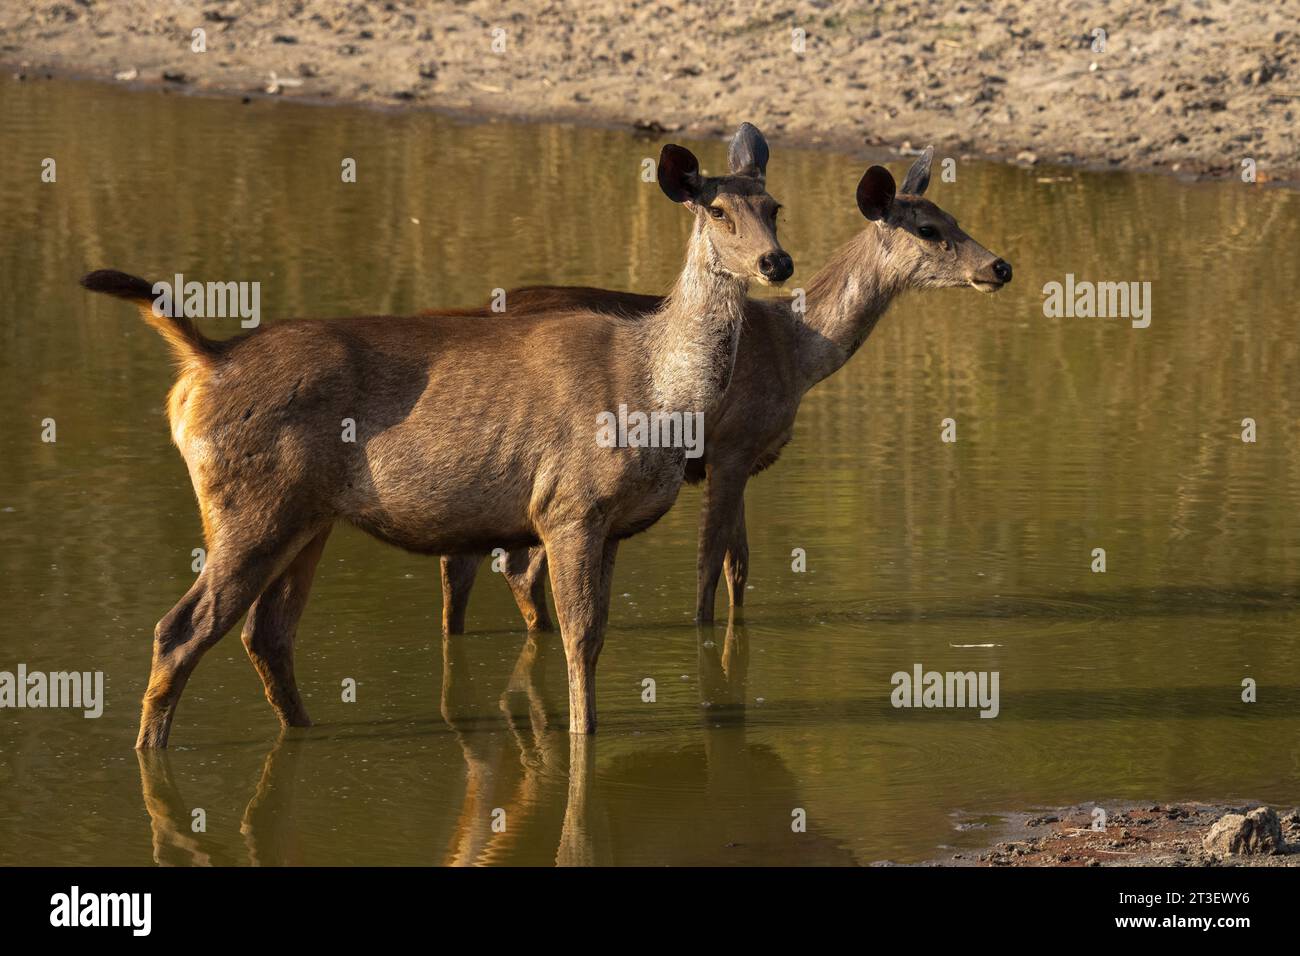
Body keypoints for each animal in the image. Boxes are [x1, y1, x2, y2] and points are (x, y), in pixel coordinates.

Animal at [83, 121, 790, 749]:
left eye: (774, 207)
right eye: (718, 210)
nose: (776, 261)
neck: (656, 393)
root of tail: (205, 363)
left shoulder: (610, 524)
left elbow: (594, 633)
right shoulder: (569, 505)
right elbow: (580, 637)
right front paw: (583, 741)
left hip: (308, 516)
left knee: (268, 633)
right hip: (252, 504)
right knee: (181, 630)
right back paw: (151, 752)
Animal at [441, 147, 1008, 629]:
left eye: (956, 218)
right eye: (929, 229)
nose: (999, 266)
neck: (797, 352)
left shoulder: (746, 457)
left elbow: (740, 566)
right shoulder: (731, 445)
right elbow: (712, 566)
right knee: (509, 570)